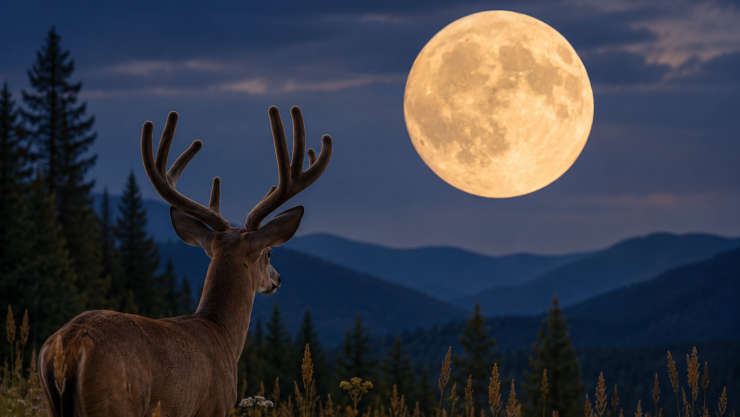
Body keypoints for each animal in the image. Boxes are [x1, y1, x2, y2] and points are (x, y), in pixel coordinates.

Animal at [37, 106, 332, 417]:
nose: (278, 278)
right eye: (270, 252)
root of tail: (69, 345)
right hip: (116, 402)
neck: (221, 334)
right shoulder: (215, 406)